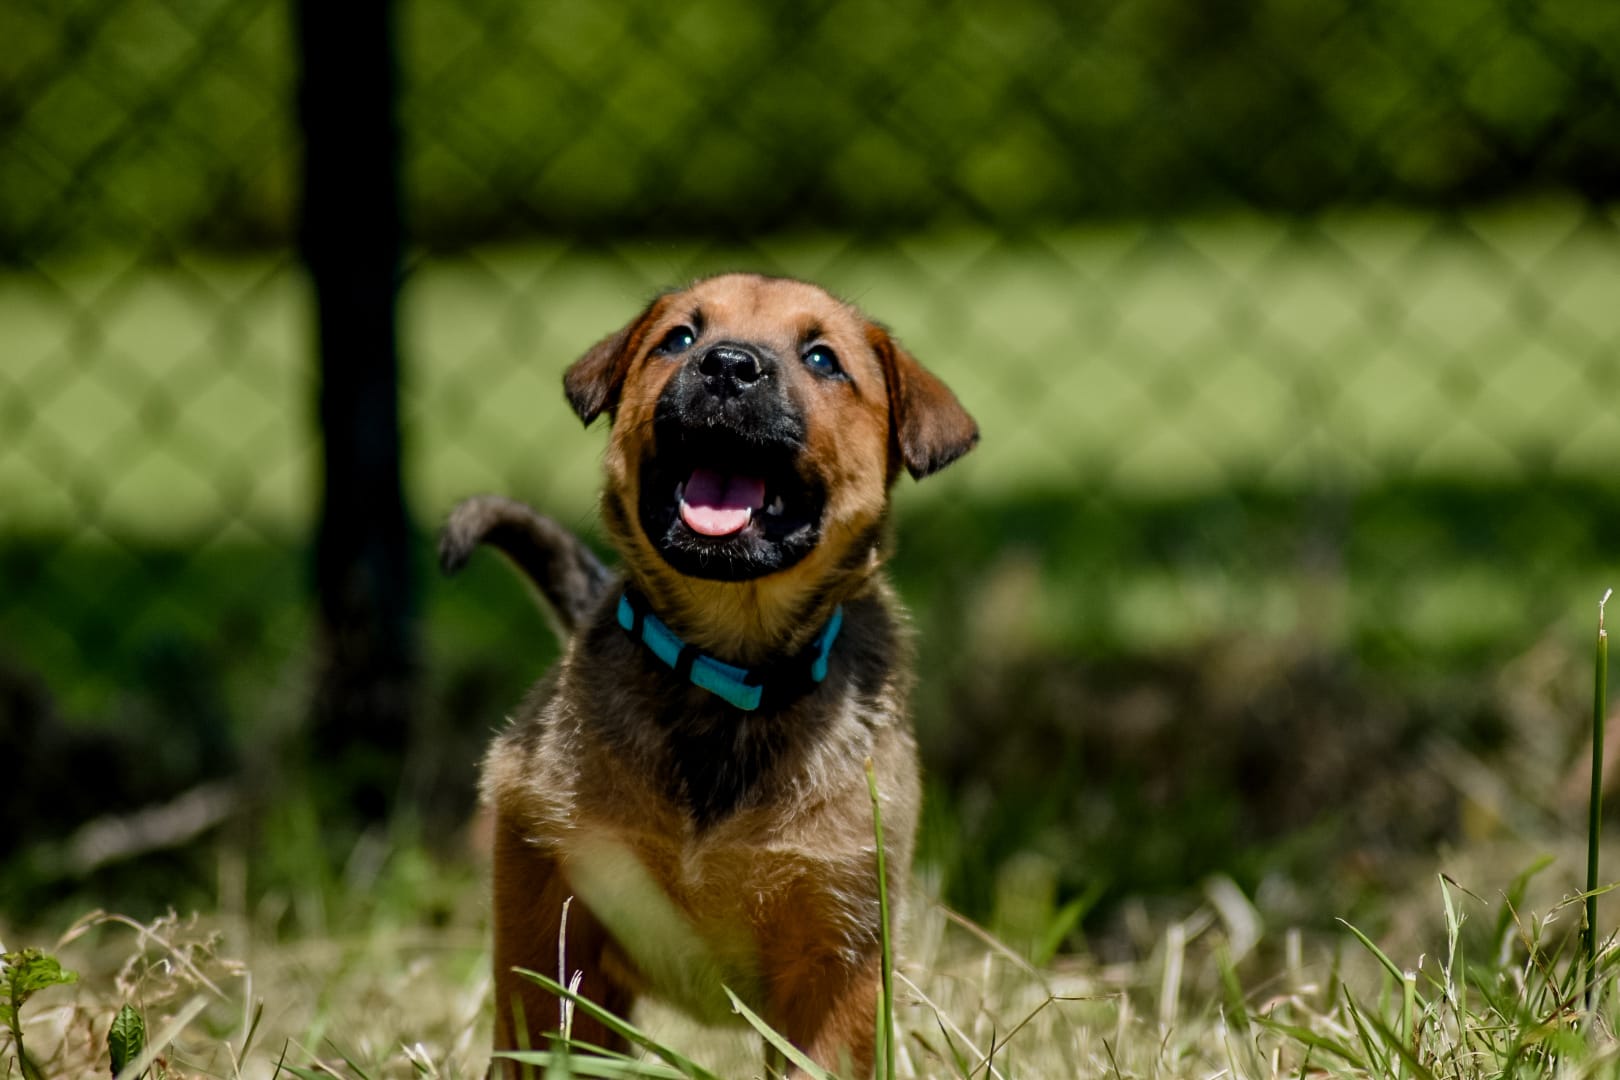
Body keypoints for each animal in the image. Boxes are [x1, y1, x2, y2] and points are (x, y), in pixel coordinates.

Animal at [440, 275, 972, 1075]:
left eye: (823, 358)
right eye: (679, 339)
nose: (728, 365)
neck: (729, 669)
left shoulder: (837, 944)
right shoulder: (548, 895)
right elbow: (543, 1033)